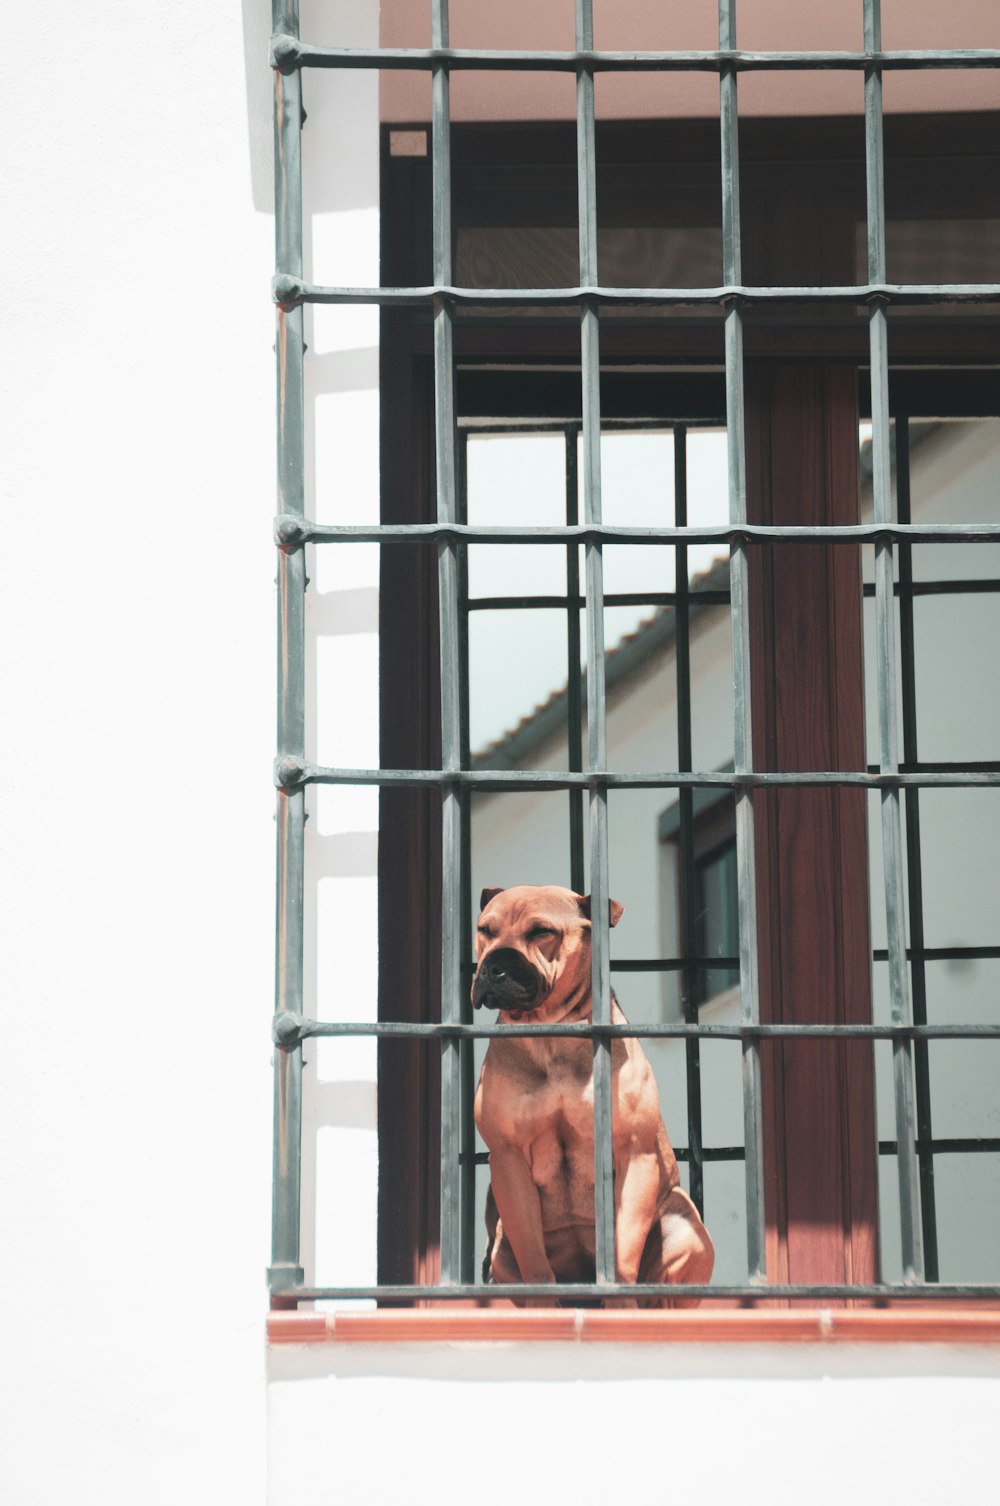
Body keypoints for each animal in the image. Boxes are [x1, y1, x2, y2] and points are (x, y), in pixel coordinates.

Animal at [472, 879, 713, 1307]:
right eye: (485, 930)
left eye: (541, 932)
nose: (494, 965)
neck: (552, 1032)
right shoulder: (508, 1157)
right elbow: (535, 1263)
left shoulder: (634, 1154)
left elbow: (623, 1254)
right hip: (502, 1246)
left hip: (684, 1225)